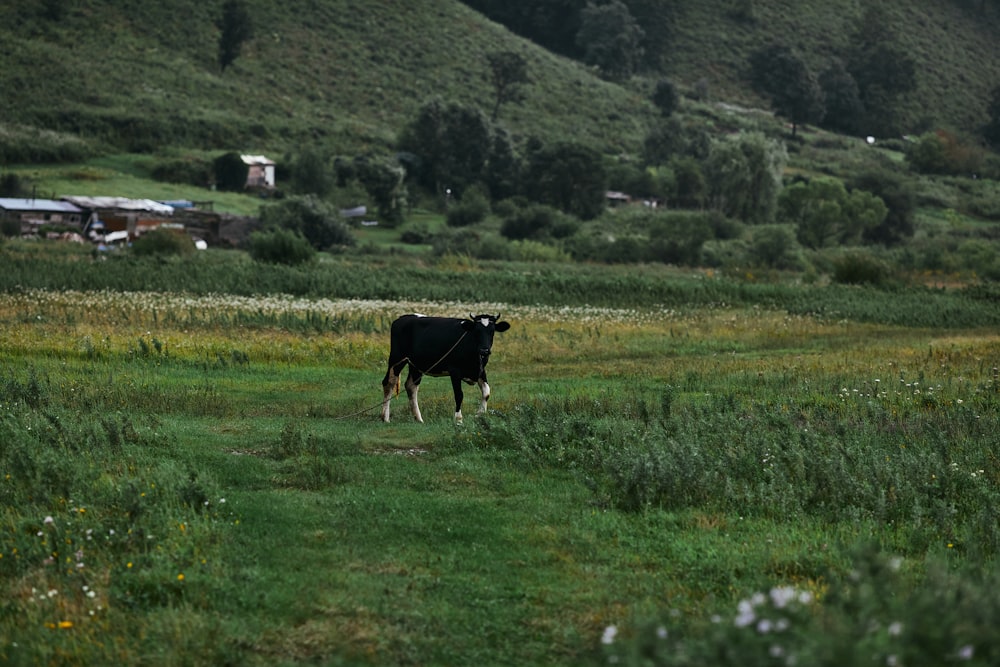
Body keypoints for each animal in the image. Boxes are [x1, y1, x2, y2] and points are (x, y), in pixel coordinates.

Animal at [380, 314, 512, 422]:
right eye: (476, 331)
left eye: (492, 331)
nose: (484, 350)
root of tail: (401, 318)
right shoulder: (455, 371)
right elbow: (459, 395)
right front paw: (458, 419)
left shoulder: (480, 371)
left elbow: (486, 392)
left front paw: (479, 415)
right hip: (397, 358)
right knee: (389, 383)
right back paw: (385, 418)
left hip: (416, 365)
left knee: (411, 386)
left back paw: (419, 419)